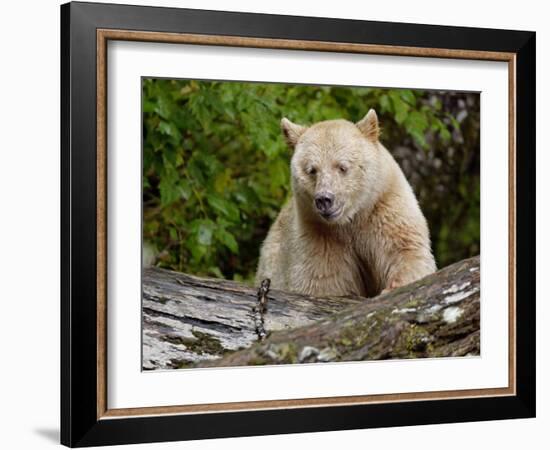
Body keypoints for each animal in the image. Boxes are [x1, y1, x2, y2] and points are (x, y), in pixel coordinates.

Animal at [256, 110, 438, 298]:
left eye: (342, 167)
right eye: (312, 170)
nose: (324, 199)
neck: (350, 220)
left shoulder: (385, 207)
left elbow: (406, 251)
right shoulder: (318, 235)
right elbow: (323, 279)